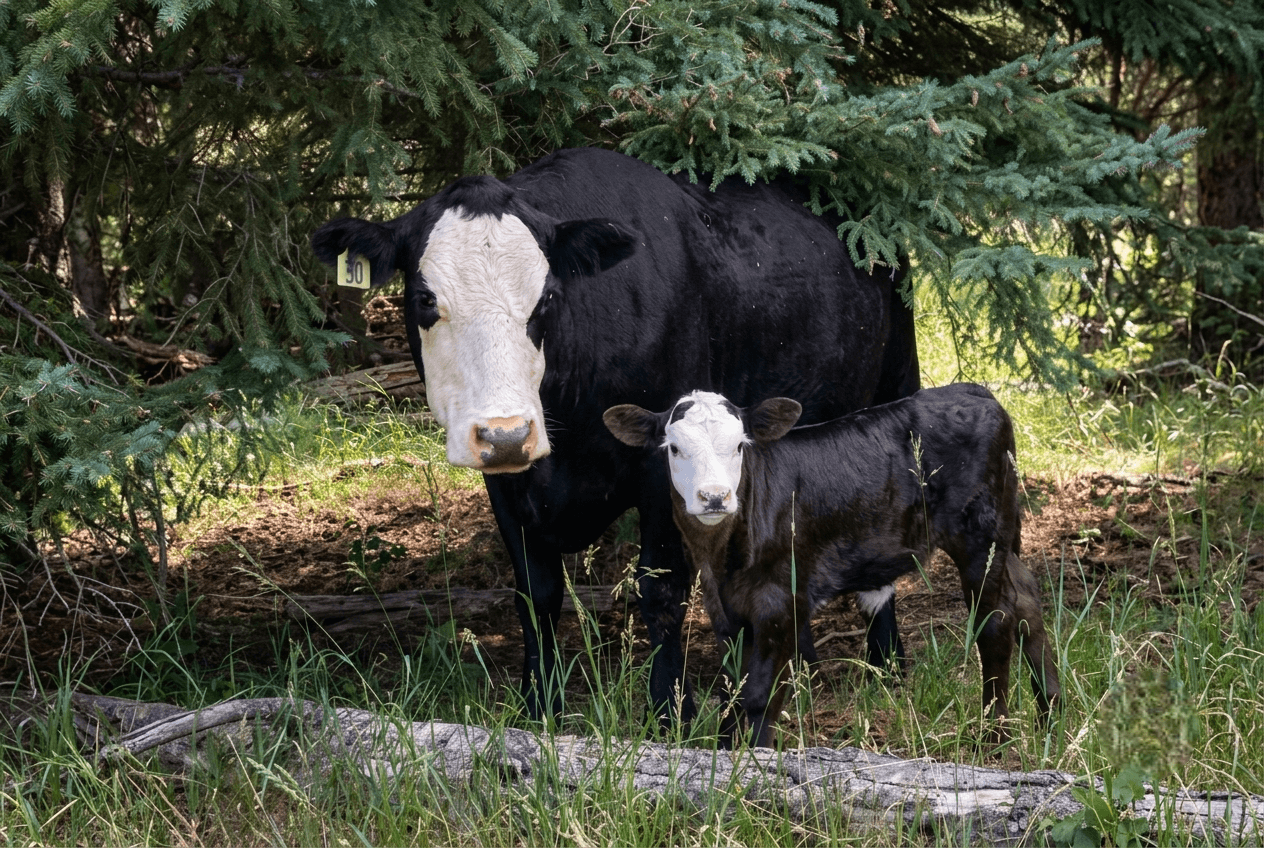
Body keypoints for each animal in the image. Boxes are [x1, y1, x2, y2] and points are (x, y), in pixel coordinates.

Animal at [311, 147, 920, 725]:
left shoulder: (661, 465)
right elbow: (536, 593)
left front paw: (670, 711)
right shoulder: (506, 484)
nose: (506, 434)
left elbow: (660, 590)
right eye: (424, 299)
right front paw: (541, 706)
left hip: (897, 384)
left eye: (547, 299)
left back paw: (887, 662)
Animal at [603, 383, 1061, 748]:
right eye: (674, 448)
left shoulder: (783, 601)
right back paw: (1050, 714)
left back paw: (995, 736)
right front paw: (724, 750)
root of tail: (974, 391)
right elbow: (732, 690)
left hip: (980, 539)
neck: (722, 559)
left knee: (995, 622)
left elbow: (760, 694)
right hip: (1002, 542)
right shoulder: (726, 611)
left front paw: (753, 764)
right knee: (1026, 600)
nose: (715, 497)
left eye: (739, 446)